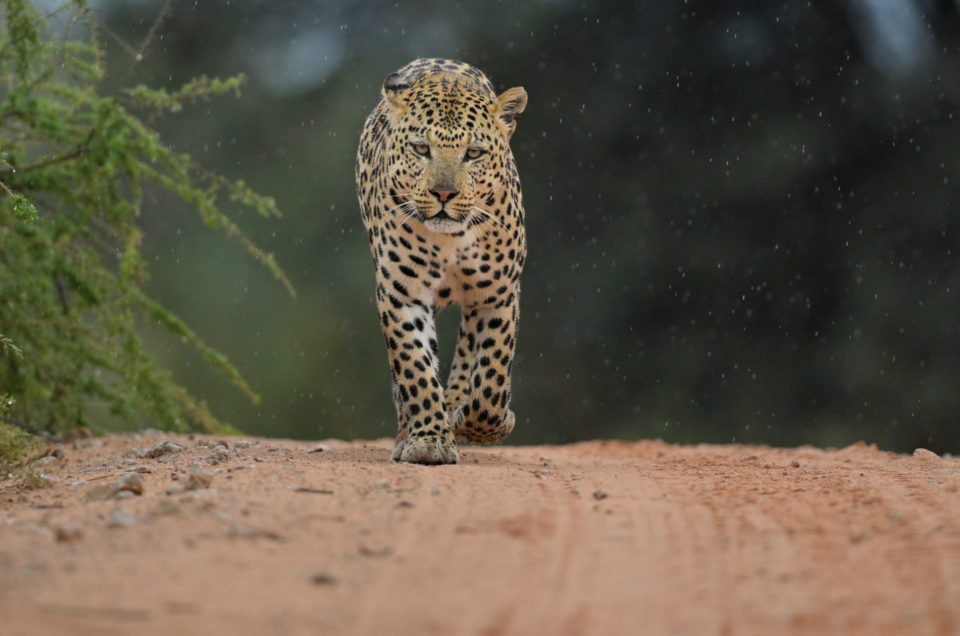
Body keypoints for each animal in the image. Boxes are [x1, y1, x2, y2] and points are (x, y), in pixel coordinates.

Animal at [355, 58, 528, 465]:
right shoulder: (401, 293)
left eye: (474, 153)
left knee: (468, 357)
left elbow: (492, 377)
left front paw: (483, 424)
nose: (444, 193)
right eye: (421, 148)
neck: (451, 240)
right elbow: (415, 368)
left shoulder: (499, 294)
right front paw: (429, 441)